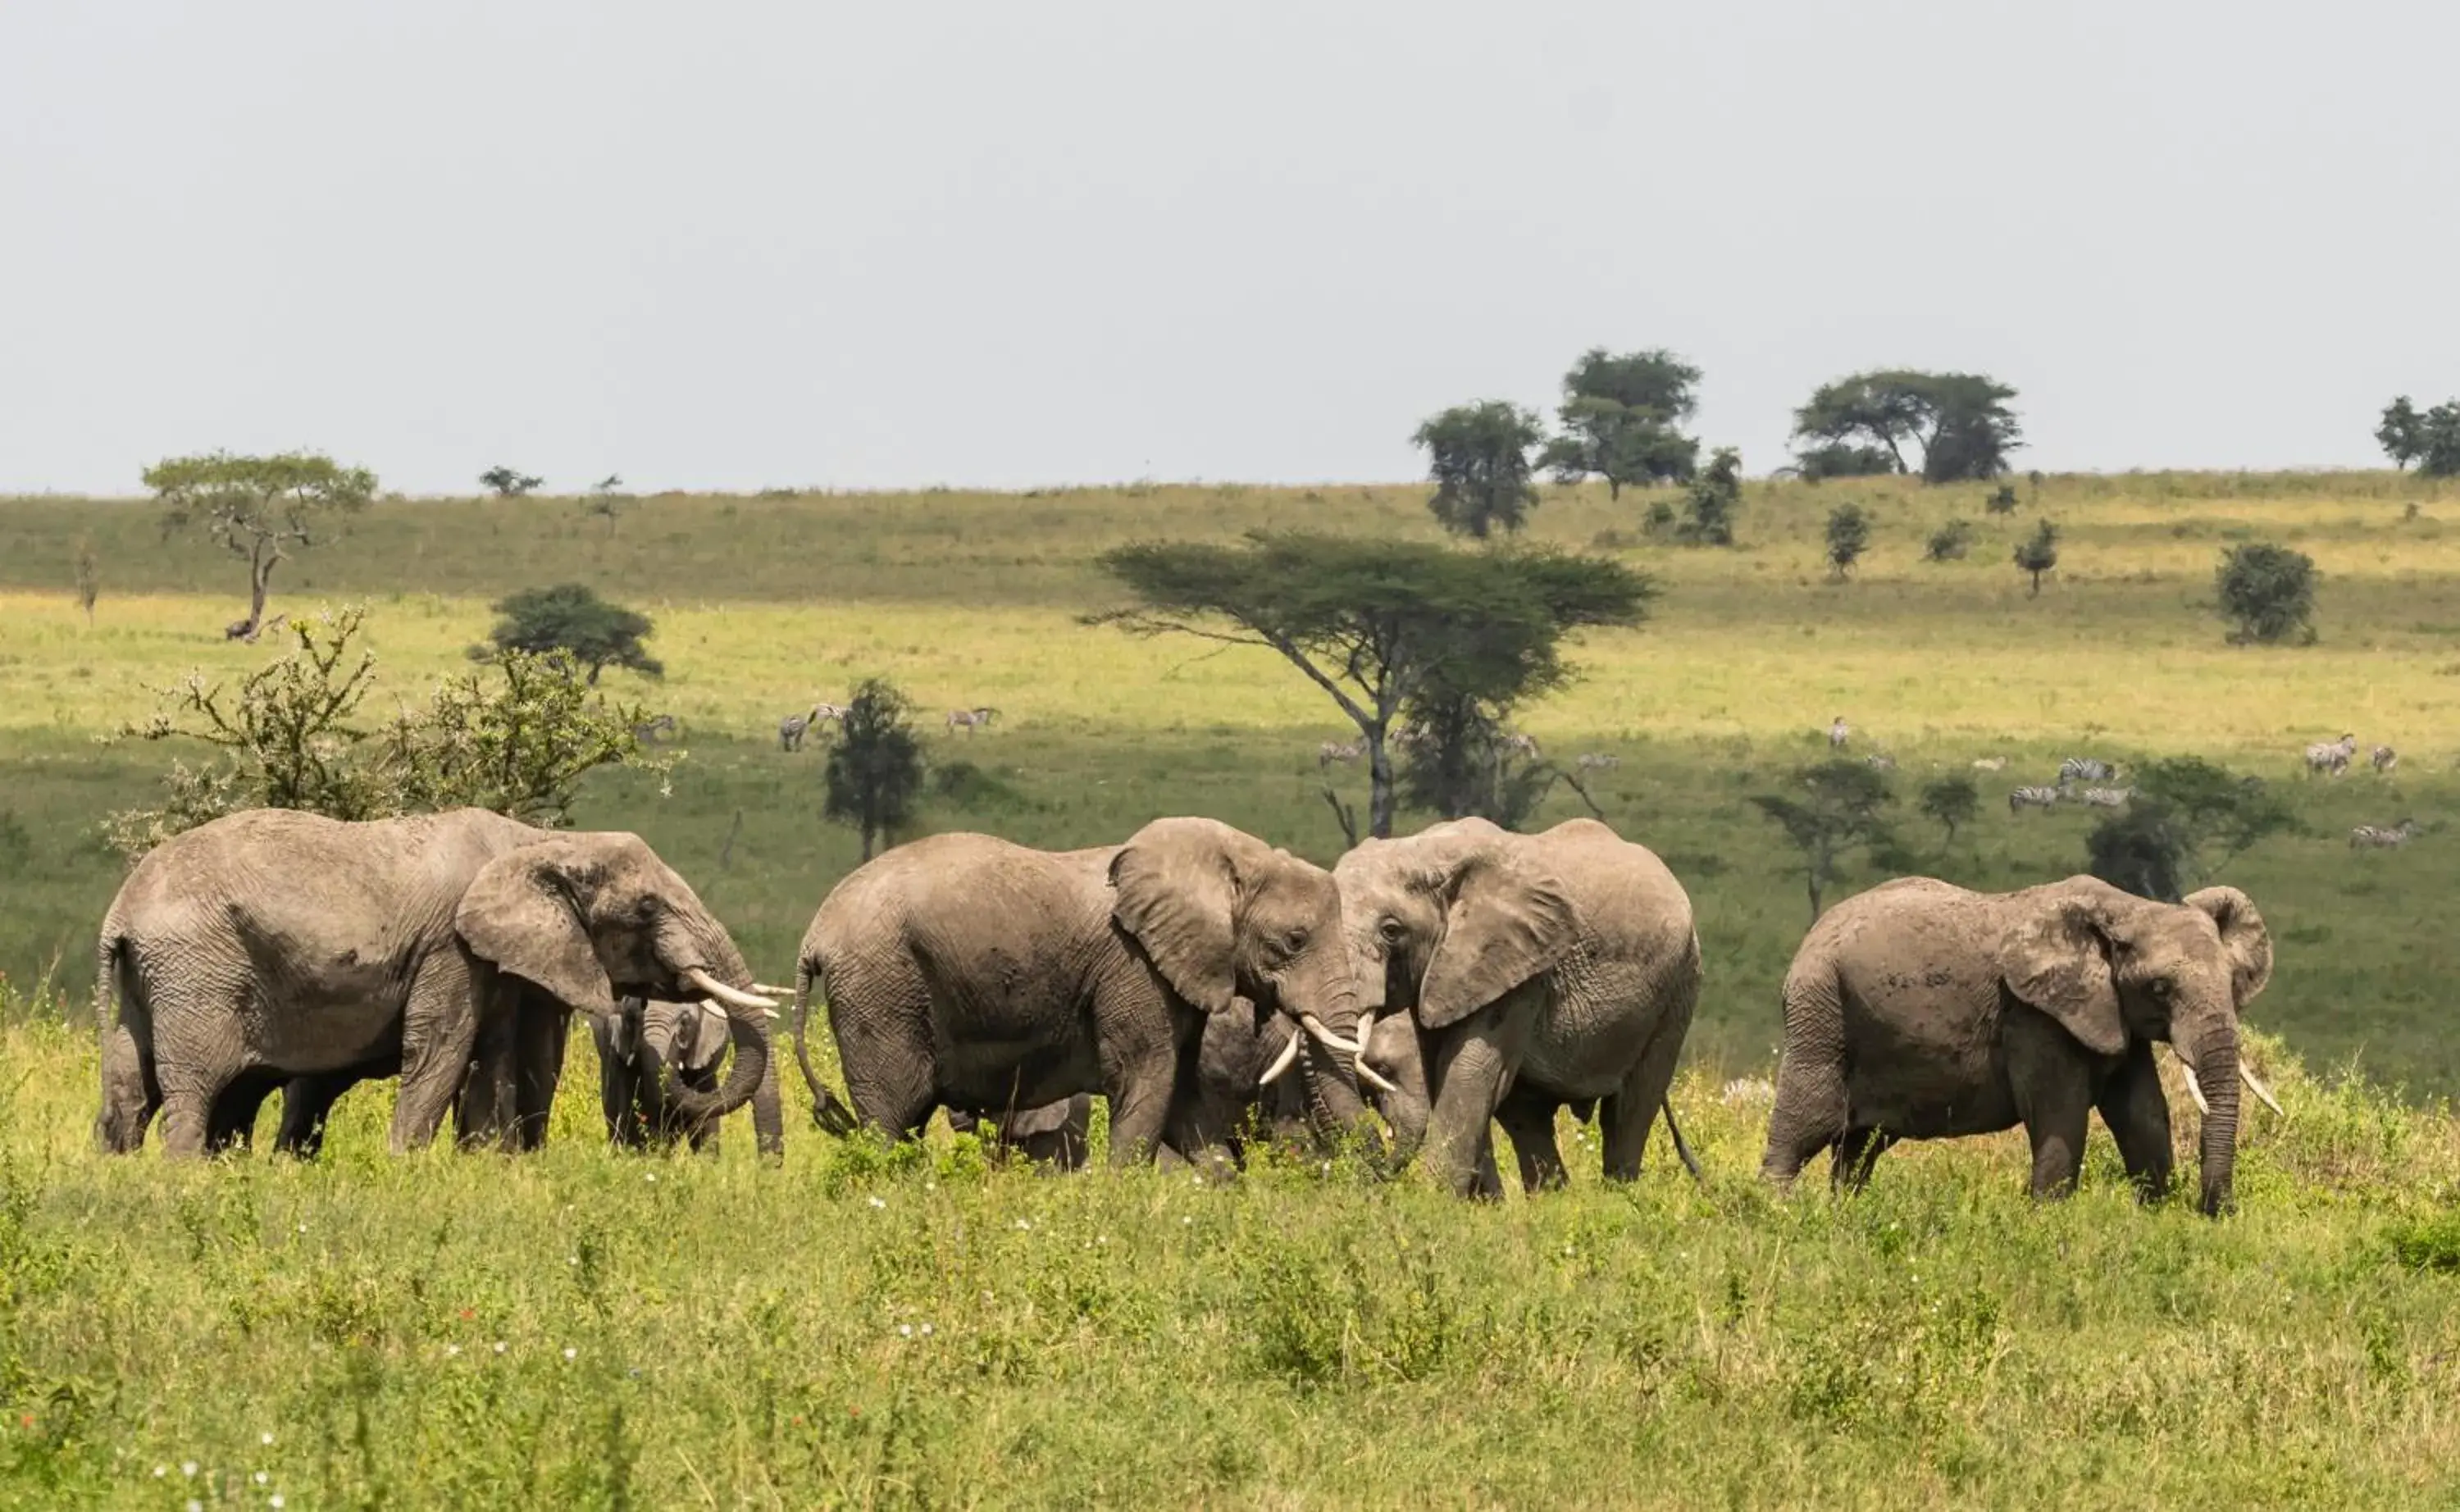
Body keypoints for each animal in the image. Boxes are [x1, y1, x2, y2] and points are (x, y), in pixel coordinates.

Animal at [792, 821, 1387, 1165]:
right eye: (1295, 940)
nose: (1380, 1161)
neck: (1228, 861)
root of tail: (814, 935)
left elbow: (1182, 1095)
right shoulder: (1134, 967)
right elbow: (1146, 1079)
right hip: (881, 986)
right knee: (893, 1114)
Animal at [1338, 816, 1702, 1195]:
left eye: (1391, 930)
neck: (1425, 851)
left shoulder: (1519, 970)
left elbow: (1468, 1072)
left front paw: (1433, 1200)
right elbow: (1444, 1073)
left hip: (1678, 989)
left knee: (1629, 1108)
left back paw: (1619, 1196)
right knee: (1528, 1116)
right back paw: (1552, 1199)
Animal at [1771, 875, 2263, 1219]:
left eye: (2231, 981)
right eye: (2160, 988)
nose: (2220, 1212)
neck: (2128, 908)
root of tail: (1811, 936)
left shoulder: (2115, 1015)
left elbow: (2142, 1115)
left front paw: (2158, 1219)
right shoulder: (2034, 1015)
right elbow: (2060, 1114)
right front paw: (2046, 1227)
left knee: (1859, 1147)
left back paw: (1844, 1217)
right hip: (1821, 1011)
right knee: (1805, 1124)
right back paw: (1774, 1212)